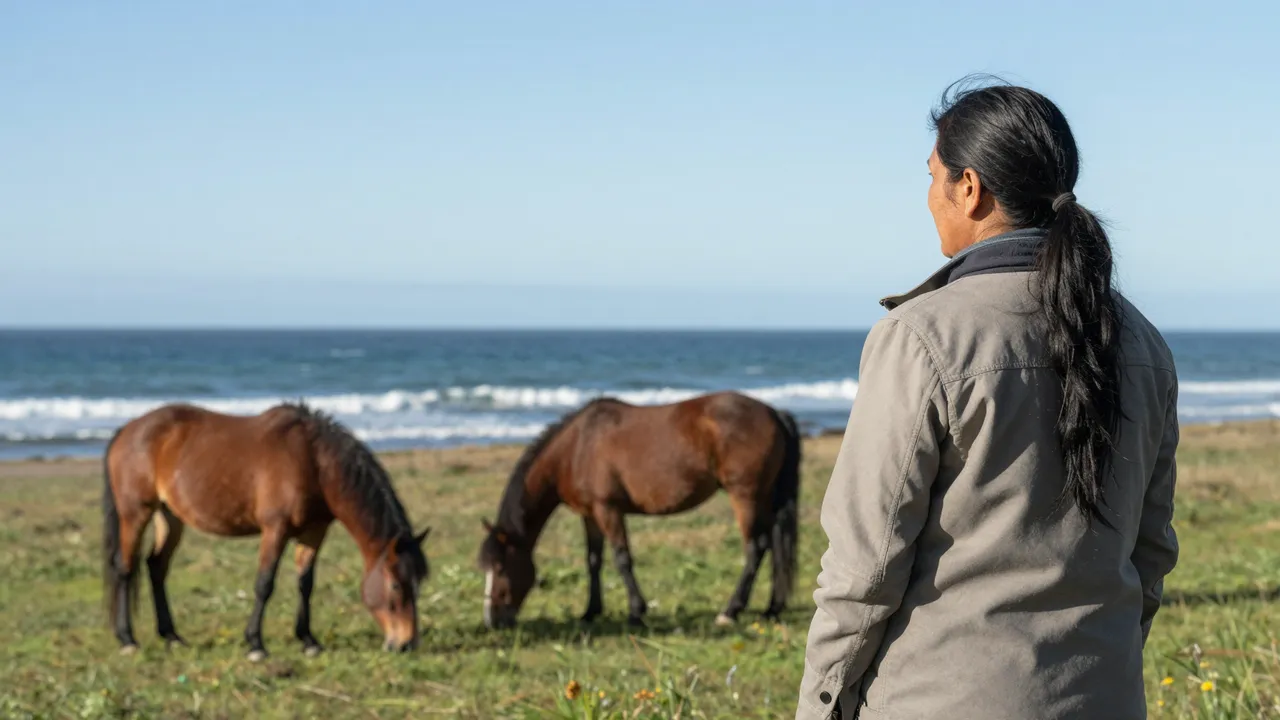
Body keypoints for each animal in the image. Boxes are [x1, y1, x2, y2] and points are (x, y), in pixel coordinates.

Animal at [102, 402, 430, 660]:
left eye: (417, 585)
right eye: (396, 585)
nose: (405, 644)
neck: (312, 460)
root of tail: (128, 429)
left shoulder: (313, 533)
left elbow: (305, 583)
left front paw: (308, 641)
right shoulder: (275, 529)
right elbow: (265, 584)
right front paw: (255, 645)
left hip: (169, 516)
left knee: (156, 567)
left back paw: (172, 637)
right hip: (136, 513)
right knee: (125, 567)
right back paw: (127, 639)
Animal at [477, 391, 801, 629]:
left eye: (500, 567)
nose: (493, 621)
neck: (576, 447)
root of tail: (773, 413)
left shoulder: (608, 509)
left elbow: (622, 559)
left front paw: (636, 612)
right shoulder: (590, 514)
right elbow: (593, 560)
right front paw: (591, 611)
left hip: (745, 495)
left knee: (756, 547)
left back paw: (731, 610)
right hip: (765, 497)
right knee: (775, 543)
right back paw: (772, 609)